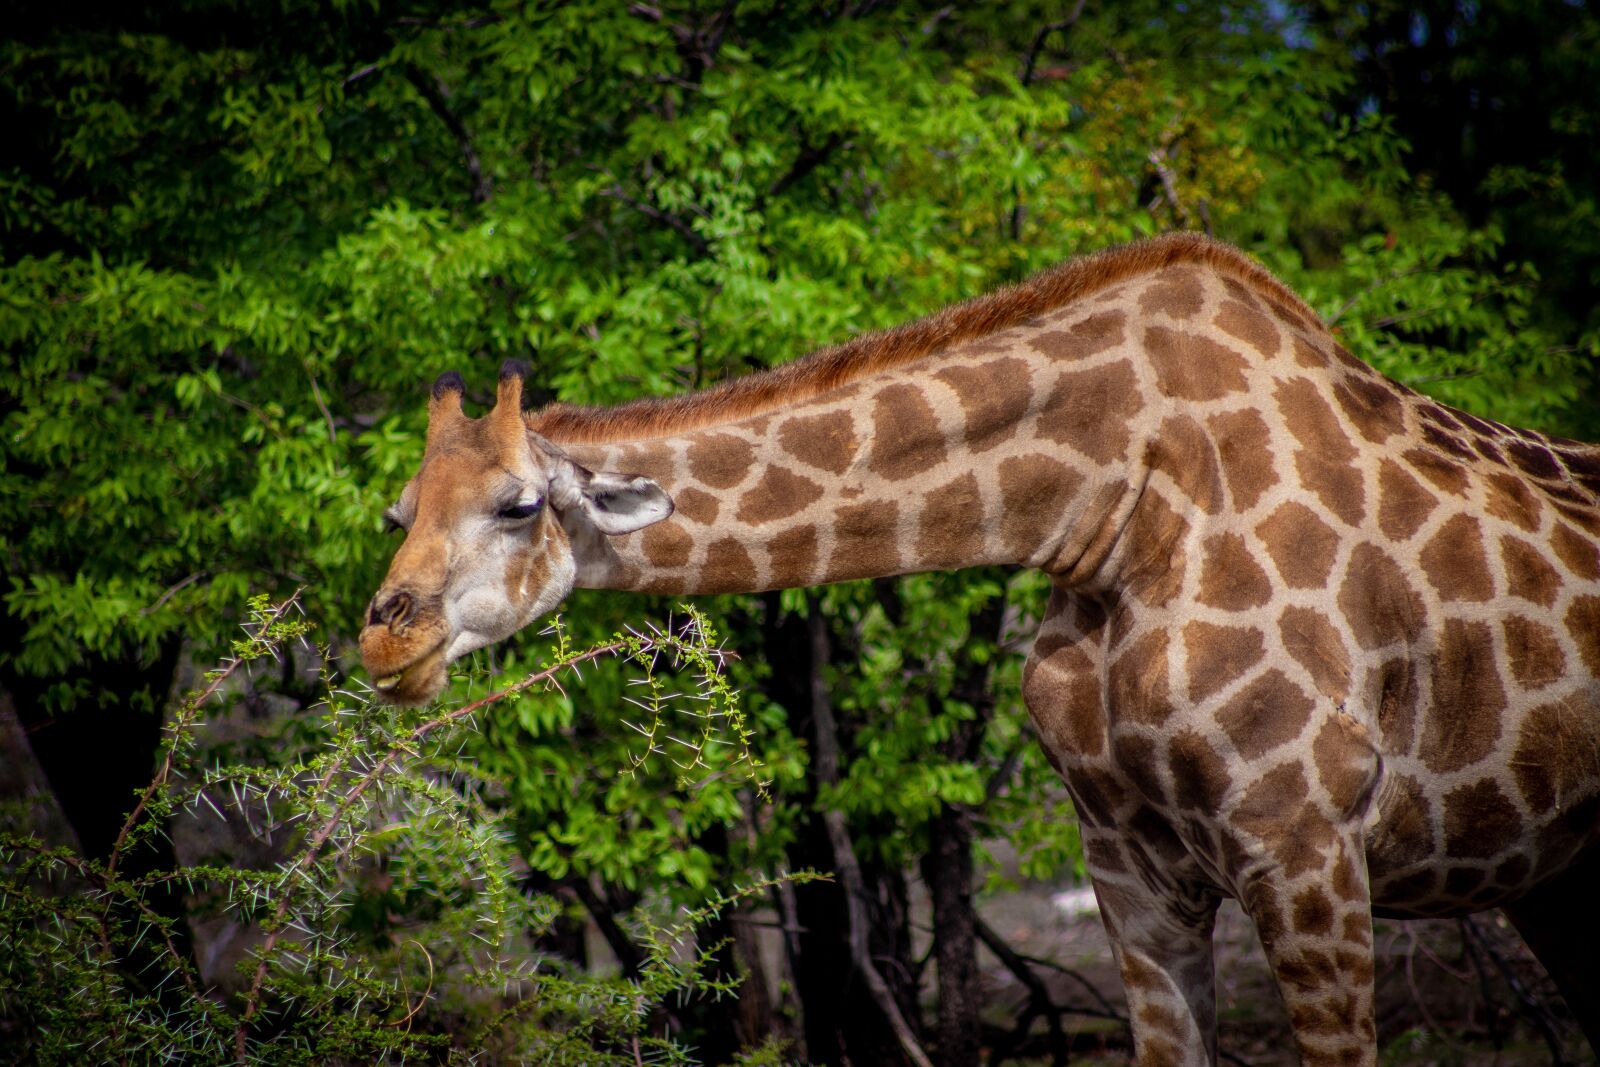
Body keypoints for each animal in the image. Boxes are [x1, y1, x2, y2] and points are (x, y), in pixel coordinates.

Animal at [360, 233, 1600, 1066]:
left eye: (519, 504)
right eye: (399, 510)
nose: (386, 637)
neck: (1111, 502)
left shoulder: (1308, 845)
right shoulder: (1131, 865)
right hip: (1556, 871)